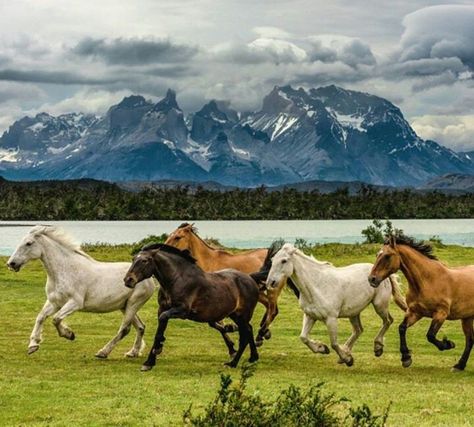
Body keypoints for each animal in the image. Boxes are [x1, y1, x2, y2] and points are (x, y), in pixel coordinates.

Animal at [6, 226, 156, 360]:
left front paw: (69, 334)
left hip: (133, 303)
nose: (11, 264)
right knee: (140, 327)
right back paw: (133, 352)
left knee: (125, 329)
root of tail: (149, 278)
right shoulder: (54, 302)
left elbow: (56, 319)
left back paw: (103, 353)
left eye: (28, 243)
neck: (64, 271)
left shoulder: (75, 303)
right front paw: (33, 345)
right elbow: (40, 317)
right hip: (125, 306)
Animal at [122, 244, 260, 372]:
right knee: (249, 330)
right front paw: (150, 361)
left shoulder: (182, 311)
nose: (128, 280)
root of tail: (251, 279)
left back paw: (233, 363)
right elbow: (159, 328)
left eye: (145, 260)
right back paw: (253, 357)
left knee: (245, 336)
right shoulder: (162, 309)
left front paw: (158, 349)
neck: (177, 279)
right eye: (134, 258)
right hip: (235, 315)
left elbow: (162, 321)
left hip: (243, 315)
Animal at [264, 246, 406, 366]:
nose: (270, 283)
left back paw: (377, 348)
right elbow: (303, 337)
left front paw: (347, 359)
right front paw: (323, 348)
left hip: (379, 306)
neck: (317, 285)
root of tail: (382, 274)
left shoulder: (331, 318)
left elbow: (333, 343)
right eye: (272, 260)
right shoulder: (310, 316)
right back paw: (347, 351)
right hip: (353, 312)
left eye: (284, 261)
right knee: (358, 330)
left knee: (388, 321)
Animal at [368, 234, 474, 372]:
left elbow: (430, 335)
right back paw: (459, 366)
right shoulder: (415, 312)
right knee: (470, 340)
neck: (427, 281)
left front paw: (448, 344)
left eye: (387, 256)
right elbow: (402, 328)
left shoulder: (441, 314)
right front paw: (406, 358)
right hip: (467, 318)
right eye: (377, 254)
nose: (371, 279)